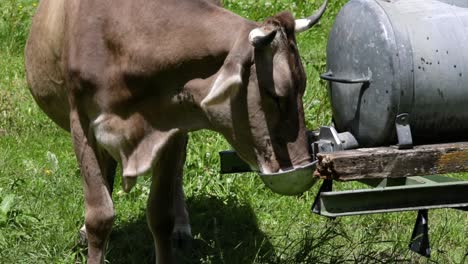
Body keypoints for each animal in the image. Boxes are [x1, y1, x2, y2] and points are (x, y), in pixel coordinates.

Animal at [23, 0, 328, 262]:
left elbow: (161, 215)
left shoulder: (171, 125)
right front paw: (91, 233)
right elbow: (99, 216)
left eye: (303, 87)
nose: (303, 165)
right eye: (276, 95)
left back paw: (182, 228)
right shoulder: (81, 122)